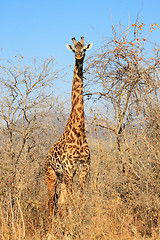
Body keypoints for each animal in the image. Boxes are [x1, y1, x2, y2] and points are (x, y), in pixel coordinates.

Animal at [45, 36, 92, 218]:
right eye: (73, 49)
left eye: (84, 49)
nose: (79, 55)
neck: (78, 132)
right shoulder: (69, 169)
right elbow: (73, 201)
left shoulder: (83, 168)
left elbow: (79, 199)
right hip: (51, 174)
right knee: (51, 202)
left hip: (61, 177)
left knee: (61, 203)